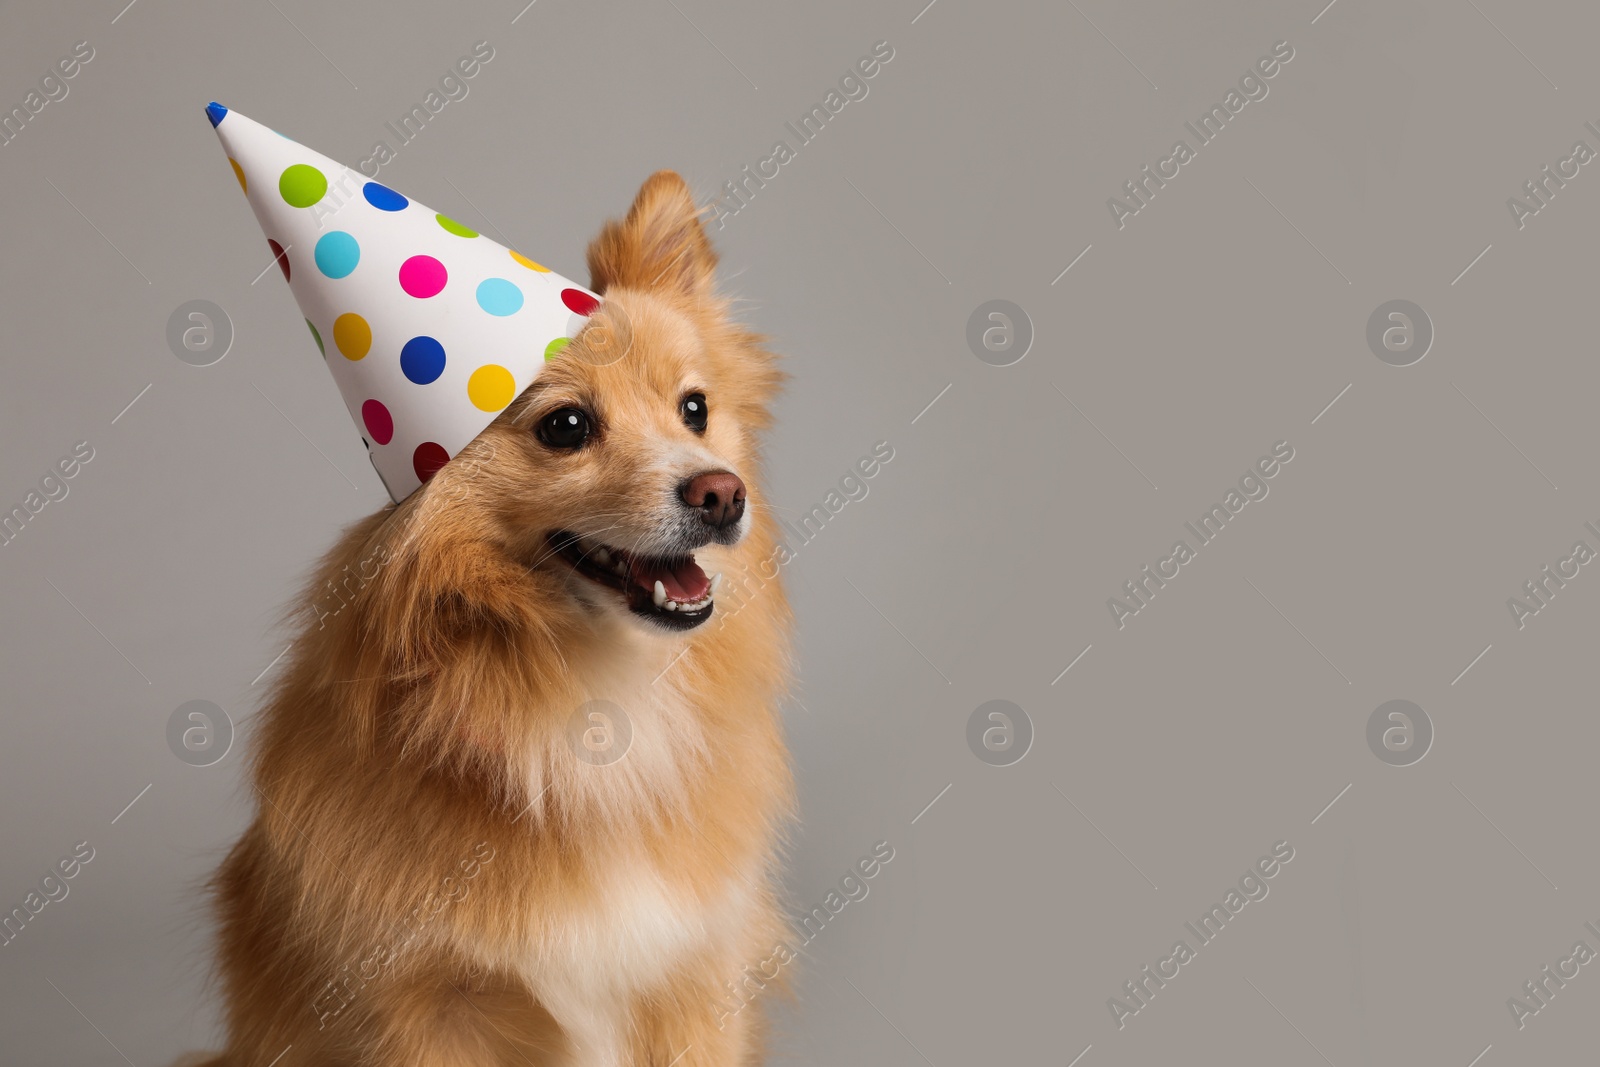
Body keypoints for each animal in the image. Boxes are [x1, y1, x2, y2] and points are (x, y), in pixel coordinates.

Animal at [190, 173, 790, 1067]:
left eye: (695, 409)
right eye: (567, 426)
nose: (722, 493)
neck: (596, 684)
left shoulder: (693, 979)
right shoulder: (433, 1006)